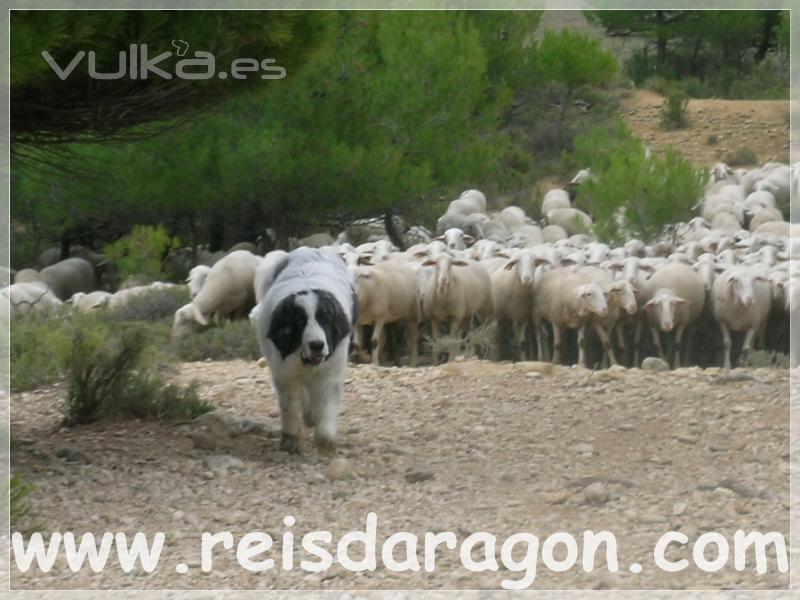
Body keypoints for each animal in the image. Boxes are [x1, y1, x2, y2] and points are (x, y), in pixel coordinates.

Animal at [256, 248, 356, 454]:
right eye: (299, 322)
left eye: (325, 319)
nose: (317, 345)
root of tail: (312, 249)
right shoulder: (283, 374)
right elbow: (289, 406)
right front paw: (291, 439)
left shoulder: (332, 371)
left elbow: (328, 403)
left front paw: (325, 438)